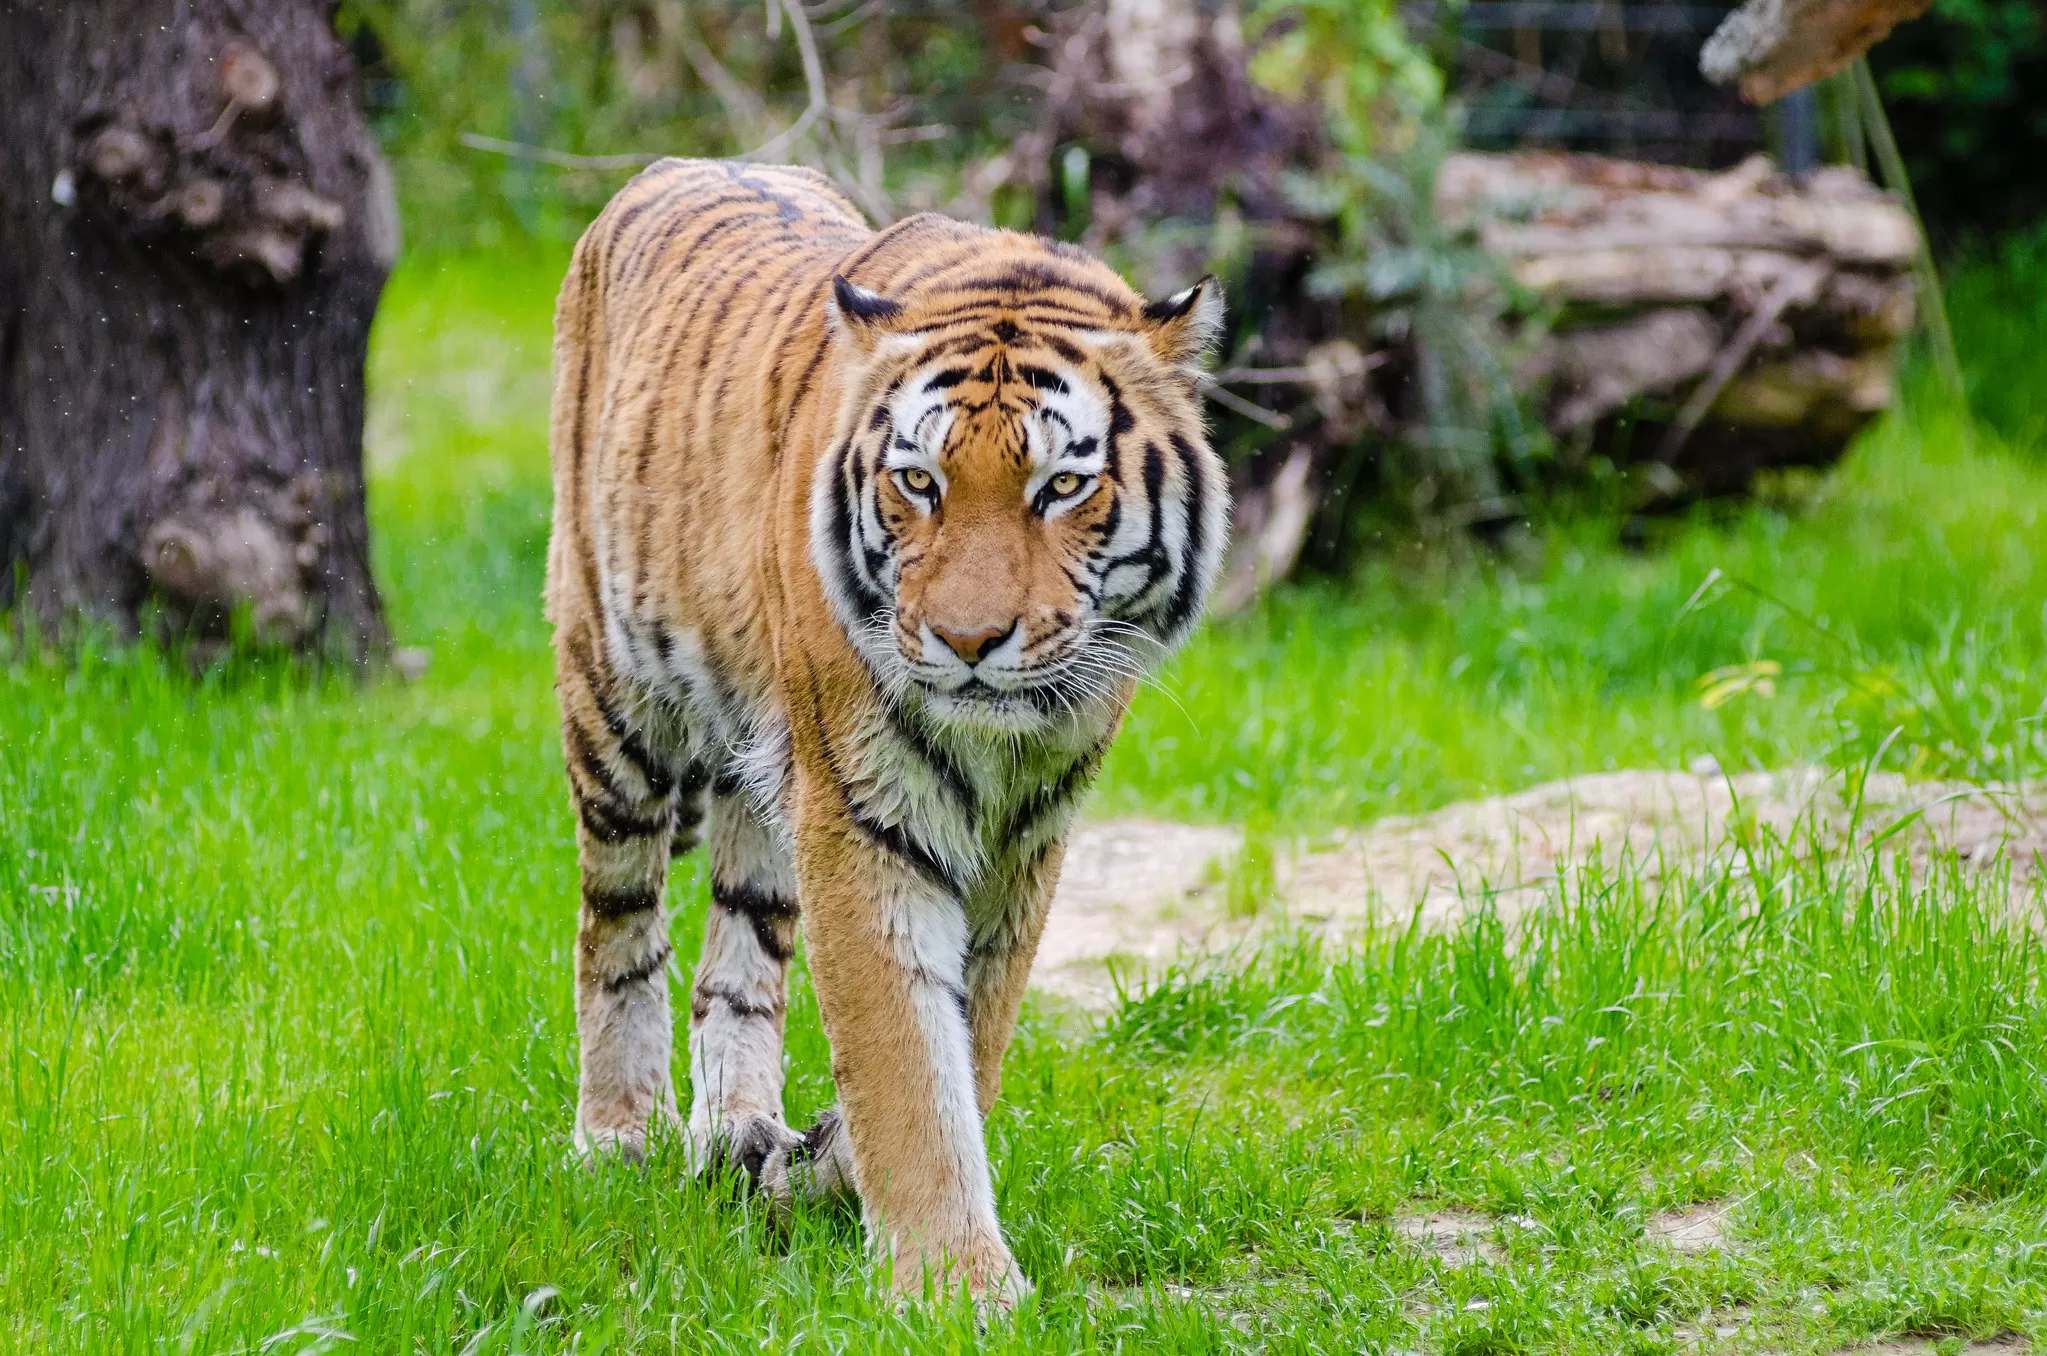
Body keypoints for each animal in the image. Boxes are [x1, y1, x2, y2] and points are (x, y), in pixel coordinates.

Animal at [544, 159, 1220, 1310]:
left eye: (1062, 486)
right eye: (919, 482)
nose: (968, 639)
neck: (1003, 744)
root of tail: (668, 169)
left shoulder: (1025, 839)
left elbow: (966, 1041)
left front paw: (822, 1170)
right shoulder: (864, 817)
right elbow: (905, 1056)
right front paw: (958, 1288)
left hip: (760, 778)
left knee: (738, 959)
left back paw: (735, 1134)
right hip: (615, 701)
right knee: (618, 926)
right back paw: (619, 1139)